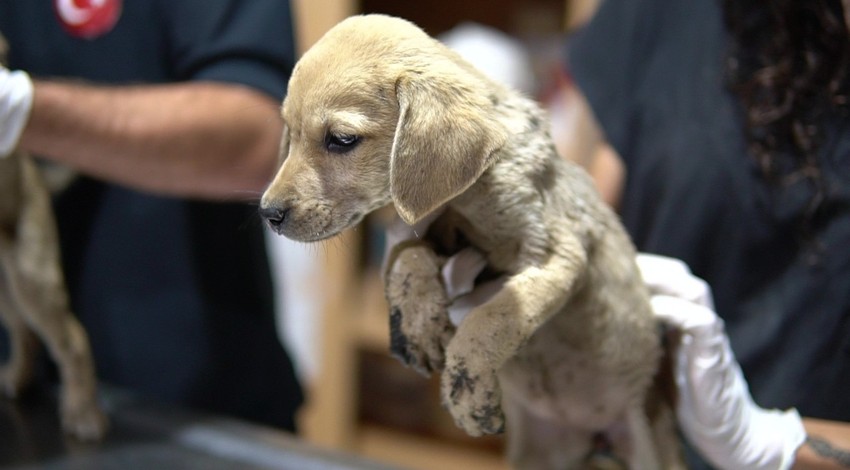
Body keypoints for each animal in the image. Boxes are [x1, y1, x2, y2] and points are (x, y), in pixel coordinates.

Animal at [0, 34, 106, 440]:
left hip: (31, 277)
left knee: (72, 340)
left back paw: (83, 413)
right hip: (6, 287)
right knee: (23, 332)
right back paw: (18, 377)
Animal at [262, 15, 680, 470]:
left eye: (341, 139)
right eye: (289, 133)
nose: (268, 214)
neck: (470, 193)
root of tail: (595, 438)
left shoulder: (558, 254)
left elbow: (493, 317)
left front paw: (466, 387)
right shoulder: (425, 229)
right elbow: (408, 260)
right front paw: (418, 322)